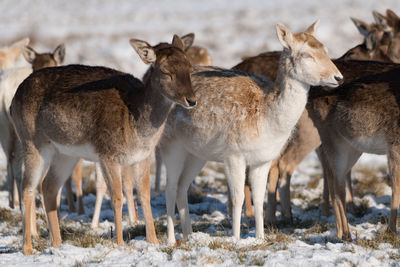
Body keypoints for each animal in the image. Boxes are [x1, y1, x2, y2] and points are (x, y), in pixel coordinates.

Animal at [9, 35, 197, 255]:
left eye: (190, 68)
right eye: (166, 72)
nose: (191, 100)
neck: (137, 124)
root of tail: (12, 101)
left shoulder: (142, 156)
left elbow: (144, 194)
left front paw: (154, 241)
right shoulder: (107, 153)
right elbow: (116, 196)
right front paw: (120, 243)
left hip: (66, 154)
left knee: (49, 186)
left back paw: (57, 243)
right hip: (32, 142)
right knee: (28, 188)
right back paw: (28, 248)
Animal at [159, 22, 344, 246]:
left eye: (325, 49)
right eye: (307, 54)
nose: (338, 77)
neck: (268, 121)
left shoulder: (263, 159)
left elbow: (259, 196)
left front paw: (260, 237)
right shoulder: (233, 154)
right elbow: (238, 197)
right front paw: (236, 238)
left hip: (196, 153)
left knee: (182, 187)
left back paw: (189, 236)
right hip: (171, 146)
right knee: (169, 188)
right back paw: (171, 239)